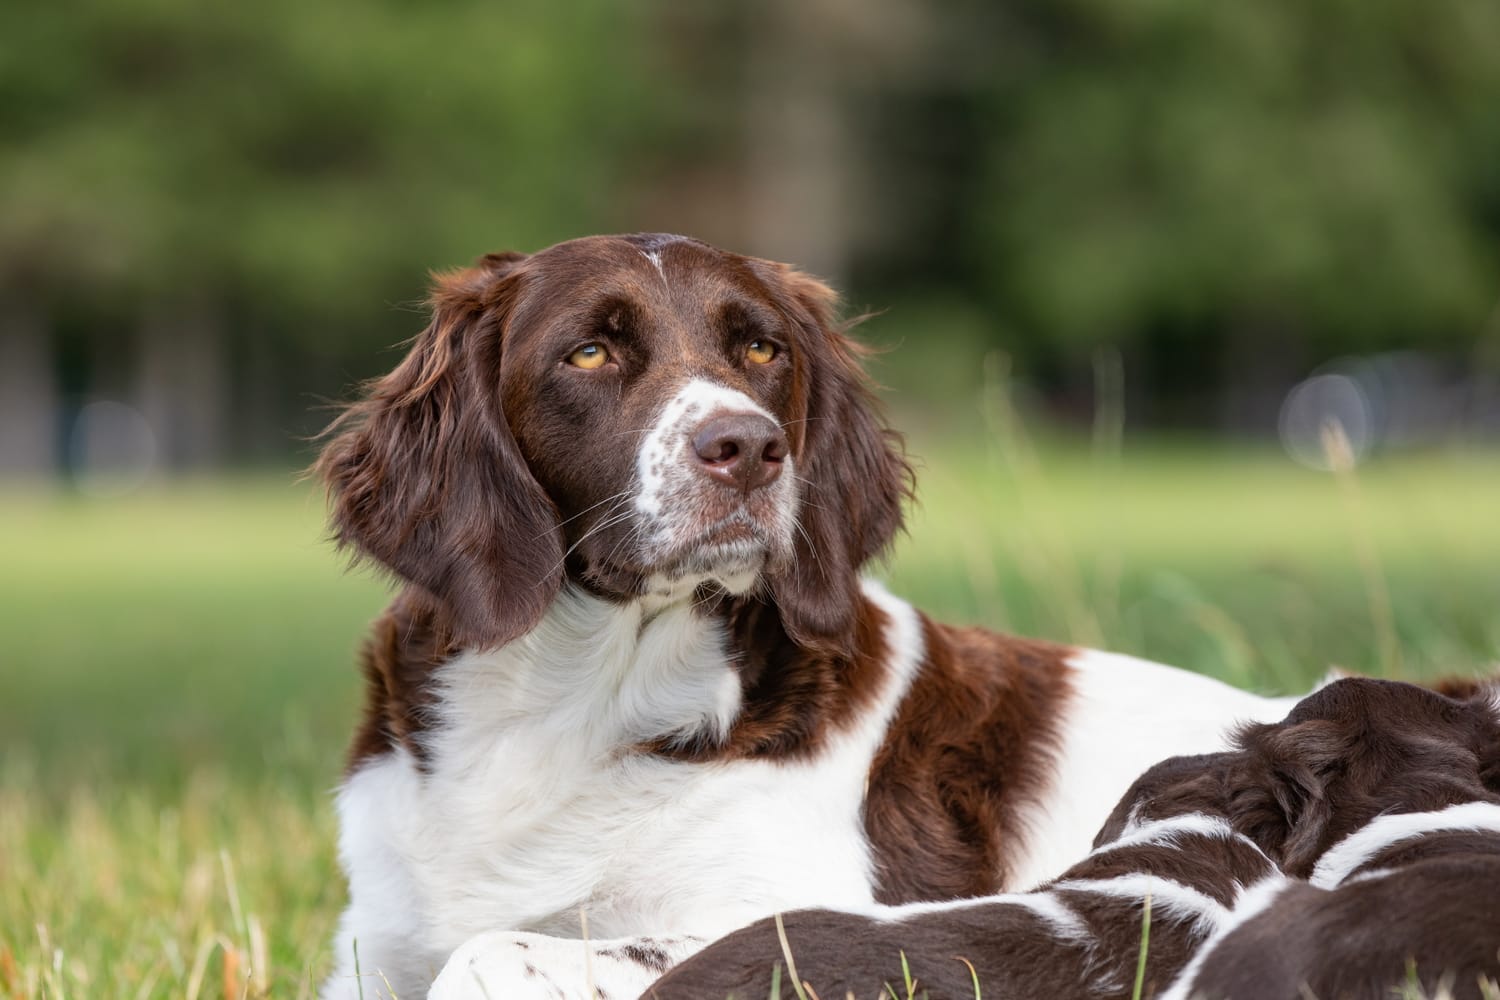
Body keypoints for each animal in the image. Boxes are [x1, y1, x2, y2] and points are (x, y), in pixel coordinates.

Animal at [319, 236, 1314, 1000]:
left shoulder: (797, 912)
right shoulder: (375, 944)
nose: (749, 447)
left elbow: (493, 951)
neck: (574, 702)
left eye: (763, 350)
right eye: (590, 353)